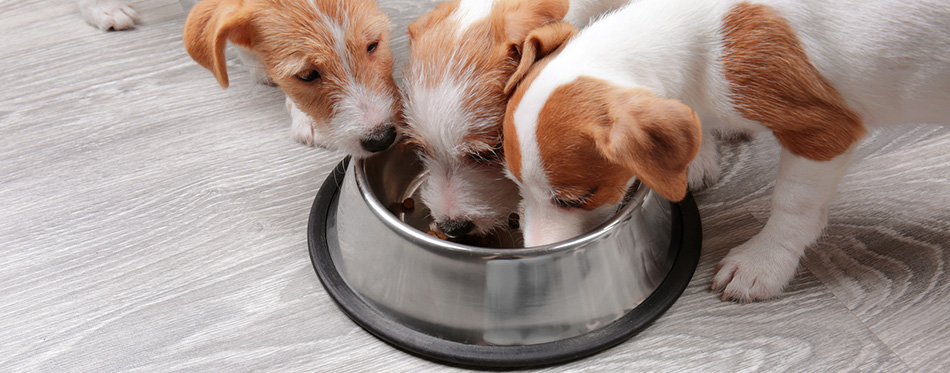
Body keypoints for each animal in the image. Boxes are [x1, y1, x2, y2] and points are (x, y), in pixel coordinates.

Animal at [502, 0, 948, 300]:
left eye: (576, 200)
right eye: (514, 184)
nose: (535, 256)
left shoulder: (823, 131)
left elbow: (794, 204)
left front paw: (764, 262)